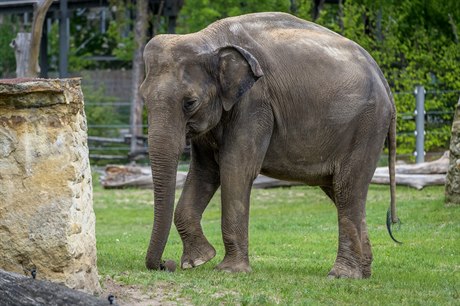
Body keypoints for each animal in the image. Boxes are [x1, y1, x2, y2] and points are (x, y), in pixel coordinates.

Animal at [141, 12, 398, 280]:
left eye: (190, 103)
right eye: (143, 98)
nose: (166, 264)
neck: (207, 38)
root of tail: (385, 84)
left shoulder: (255, 102)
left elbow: (235, 169)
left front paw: (229, 270)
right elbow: (204, 172)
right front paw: (198, 261)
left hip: (367, 127)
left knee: (347, 189)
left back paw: (341, 275)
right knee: (340, 190)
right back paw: (363, 272)